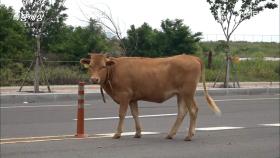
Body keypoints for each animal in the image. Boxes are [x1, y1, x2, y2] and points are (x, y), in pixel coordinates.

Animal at [80, 53, 221, 141]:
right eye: (90, 66)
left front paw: (117, 133)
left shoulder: (124, 96)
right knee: (182, 112)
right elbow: (135, 114)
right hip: (181, 94)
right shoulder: (133, 98)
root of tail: (192, 57)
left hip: (188, 93)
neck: (114, 70)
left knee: (193, 110)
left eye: (103, 66)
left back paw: (189, 135)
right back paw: (170, 134)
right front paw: (138, 133)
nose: (94, 79)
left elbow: (121, 114)